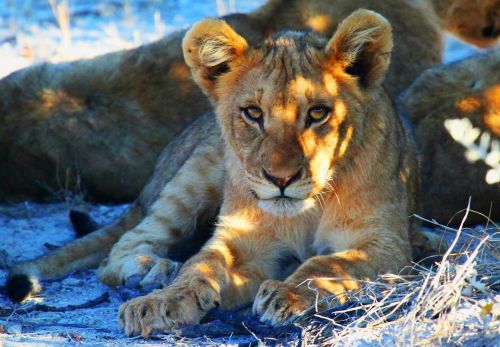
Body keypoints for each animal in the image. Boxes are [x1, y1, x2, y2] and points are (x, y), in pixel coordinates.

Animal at [8, 10, 422, 338]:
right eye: (253, 113)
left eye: (318, 113)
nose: (281, 179)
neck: (306, 211)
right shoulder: (240, 240)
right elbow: (200, 265)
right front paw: (159, 302)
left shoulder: (389, 246)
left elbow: (329, 263)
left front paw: (285, 294)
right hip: (195, 175)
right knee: (120, 251)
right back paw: (154, 270)